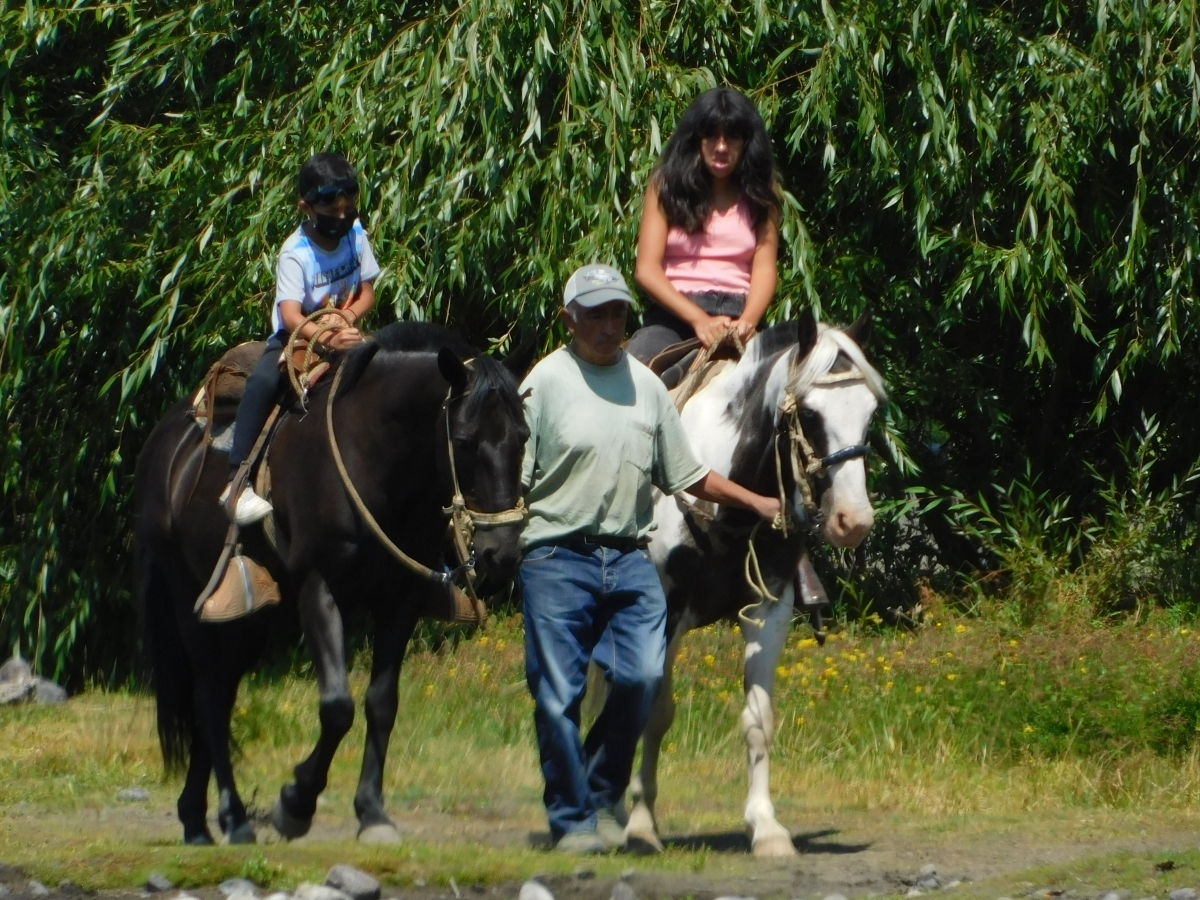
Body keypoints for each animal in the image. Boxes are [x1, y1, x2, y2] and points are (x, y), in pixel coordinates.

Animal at [136, 324, 530, 844]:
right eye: (464, 441)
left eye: (523, 438)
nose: (500, 553)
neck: (375, 458)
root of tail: (164, 446)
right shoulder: (318, 587)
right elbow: (338, 706)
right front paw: (295, 803)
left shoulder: (400, 600)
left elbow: (382, 704)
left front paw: (373, 813)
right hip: (189, 600)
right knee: (207, 697)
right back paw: (234, 819)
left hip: (245, 622)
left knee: (220, 693)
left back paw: (198, 818)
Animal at [619, 314, 883, 854]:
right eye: (810, 414)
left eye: (870, 413)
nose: (853, 521)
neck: (727, 498)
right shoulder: (667, 612)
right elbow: (656, 713)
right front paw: (642, 824)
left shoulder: (770, 610)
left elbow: (759, 722)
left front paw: (766, 827)